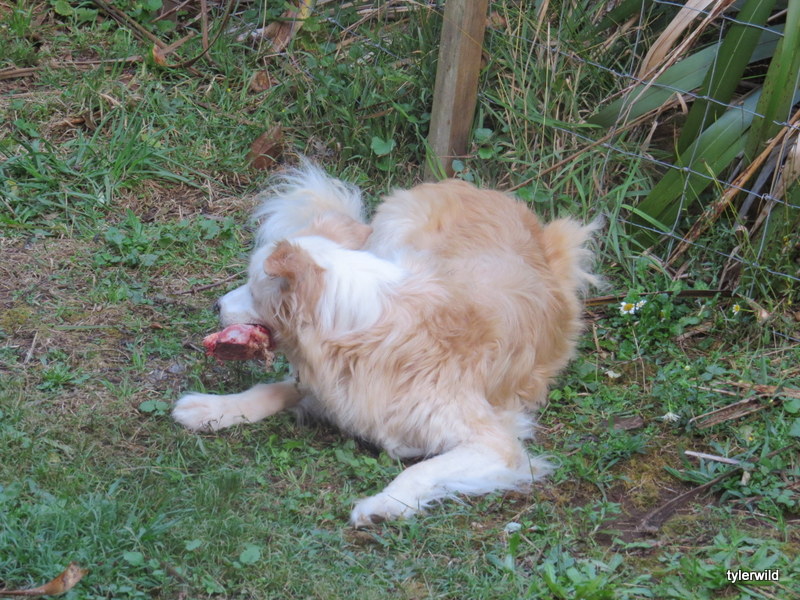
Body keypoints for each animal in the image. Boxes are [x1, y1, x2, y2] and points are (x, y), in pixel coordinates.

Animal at [173, 163, 597, 527]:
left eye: (252, 286)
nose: (216, 305)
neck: (360, 330)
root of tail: (484, 188)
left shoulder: (496, 444)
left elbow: (423, 469)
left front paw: (382, 504)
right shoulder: (336, 389)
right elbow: (272, 389)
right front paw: (211, 409)